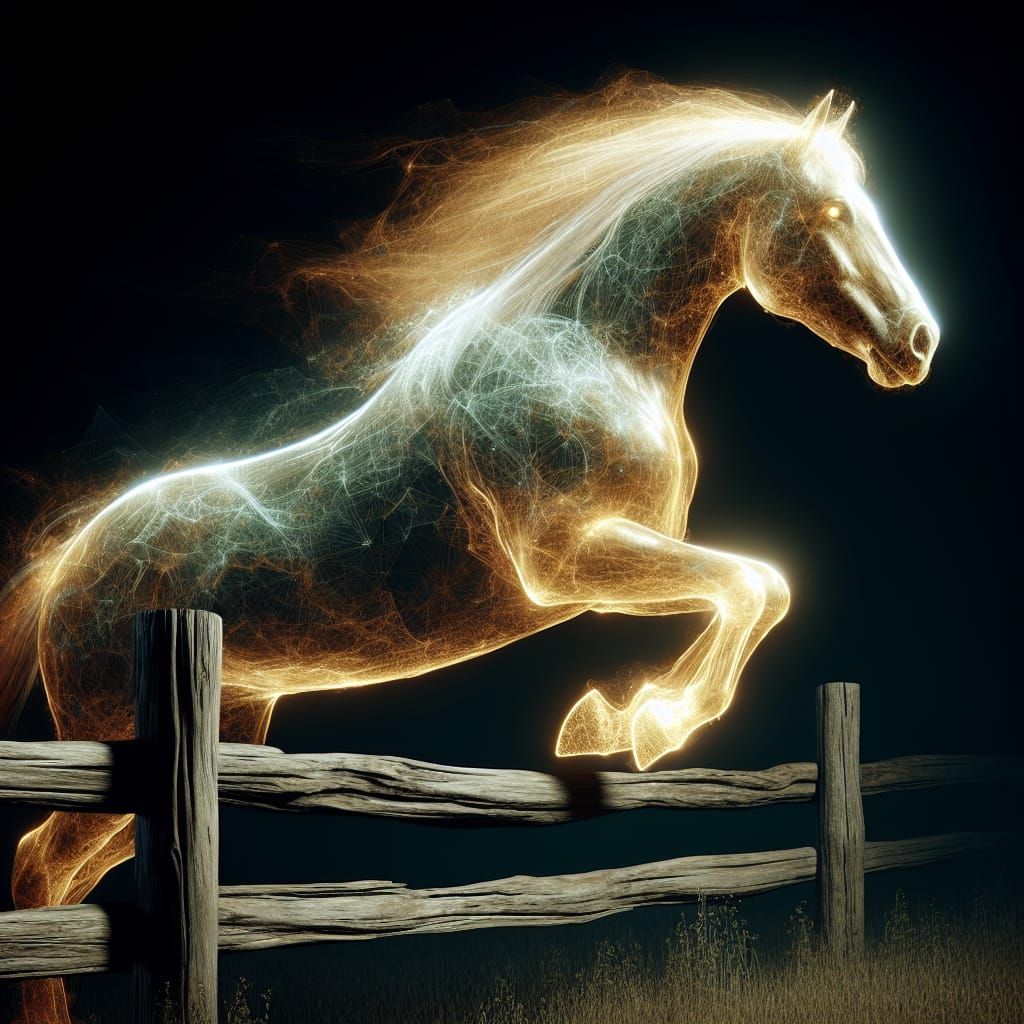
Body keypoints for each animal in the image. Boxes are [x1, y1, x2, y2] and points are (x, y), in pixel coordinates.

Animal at [0, 79, 938, 1024]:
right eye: (830, 210)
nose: (919, 344)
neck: (588, 348)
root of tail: (65, 572)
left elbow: (756, 589)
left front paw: (612, 721)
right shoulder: (567, 562)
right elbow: (755, 583)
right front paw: (643, 724)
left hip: (211, 743)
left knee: (69, 875)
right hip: (120, 740)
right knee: (39, 863)